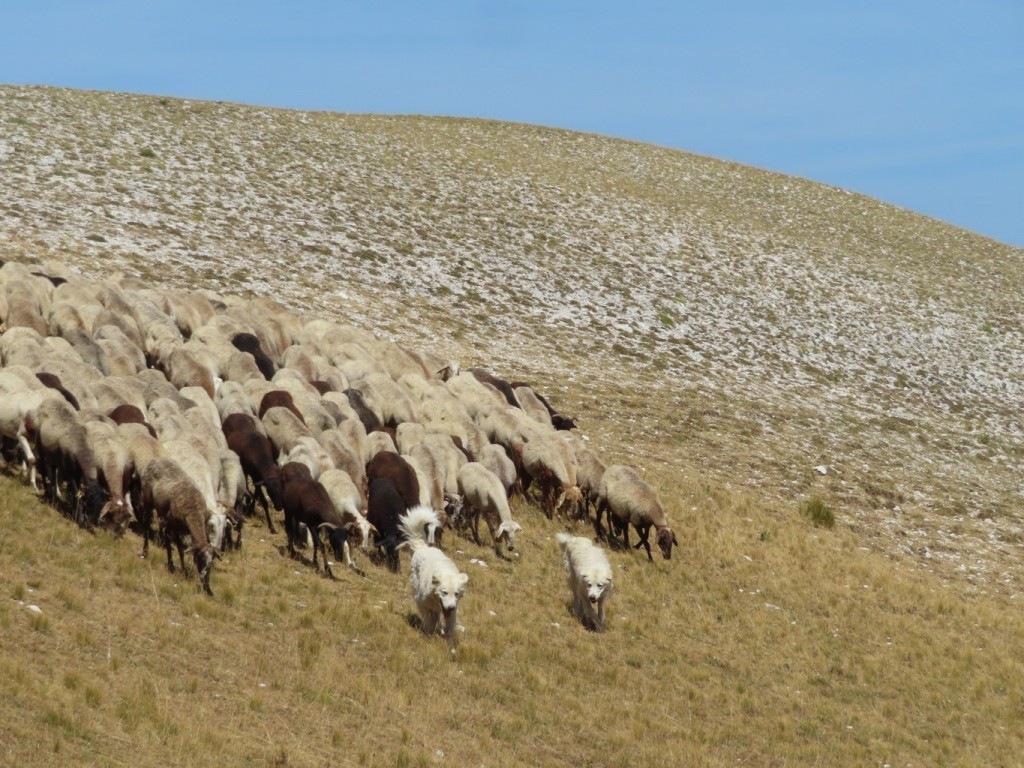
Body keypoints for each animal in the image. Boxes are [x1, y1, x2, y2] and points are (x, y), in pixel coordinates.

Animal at [397, 507, 468, 651]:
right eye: (444, 592)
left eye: (456, 594)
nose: (450, 607)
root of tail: (422, 547)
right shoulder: (423, 604)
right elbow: (429, 623)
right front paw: (429, 637)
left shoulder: (452, 611)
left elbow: (450, 630)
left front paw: (450, 647)